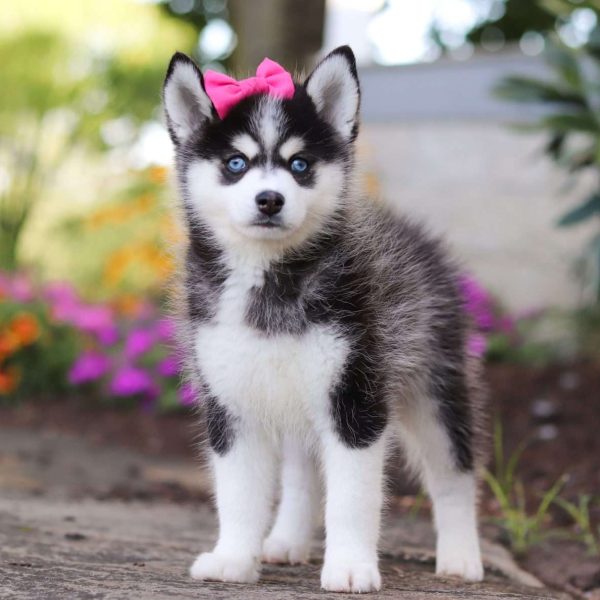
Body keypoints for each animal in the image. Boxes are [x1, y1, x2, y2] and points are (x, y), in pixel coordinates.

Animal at [162, 44, 486, 592]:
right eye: (235, 163)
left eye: (299, 164)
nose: (269, 199)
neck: (268, 282)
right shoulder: (230, 401)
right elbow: (238, 493)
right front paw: (233, 559)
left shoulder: (355, 397)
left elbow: (352, 498)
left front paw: (351, 566)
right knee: (302, 477)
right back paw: (286, 541)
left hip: (434, 386)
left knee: (452, 473)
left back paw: (462, 557)